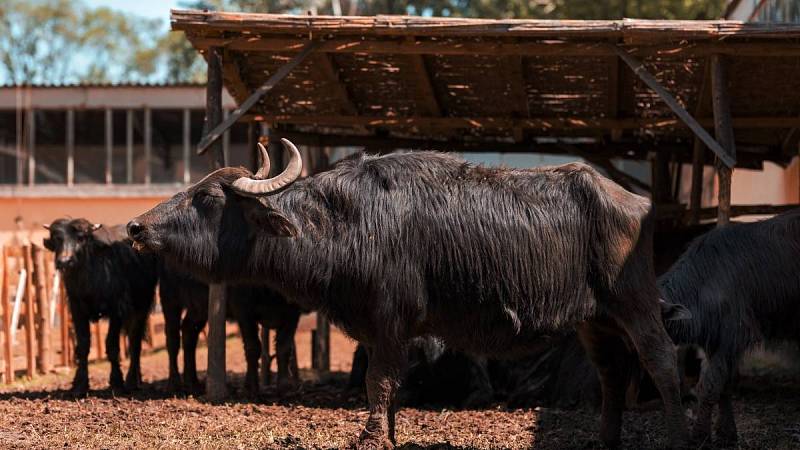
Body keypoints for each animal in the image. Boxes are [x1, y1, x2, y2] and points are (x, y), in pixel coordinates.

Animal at [43, 220, 156, 396]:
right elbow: (83, 346)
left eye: (81, 238)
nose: (64, 261)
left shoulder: (117, 310)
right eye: (57, 238)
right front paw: (80, 385)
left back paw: (131, 381)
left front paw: (116, 382)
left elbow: (112, 346)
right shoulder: (77, 309)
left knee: (134, 340)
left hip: (141, 306)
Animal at [159, 264, 304, 394]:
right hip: (169, 296)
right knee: (172, 338)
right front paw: (250, 387)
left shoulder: (293, 313)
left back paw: (193, 383)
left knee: (189, 331)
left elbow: (284, 347)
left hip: (199, 307)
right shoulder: (243, 311)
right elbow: (253, 347)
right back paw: (174, 383)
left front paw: (285, 385)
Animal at [656, 210, 800, 446]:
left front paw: (700, 435)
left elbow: (710, 385)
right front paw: (726, 433)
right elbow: (725, 385)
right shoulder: (713, 344)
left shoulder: (731, 338)